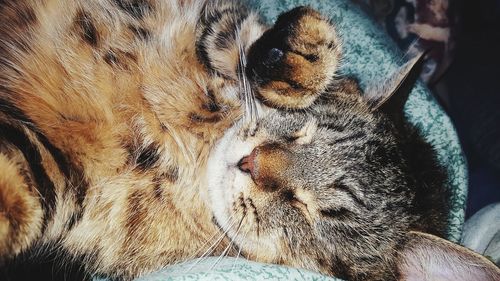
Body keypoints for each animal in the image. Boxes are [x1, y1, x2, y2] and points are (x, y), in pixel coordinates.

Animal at [0, 0, 498, 280]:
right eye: (302, 131)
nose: (251, 162)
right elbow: (240, 30)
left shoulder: (68, 181)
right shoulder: (212, 17)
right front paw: (297, 51)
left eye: (315, 211)